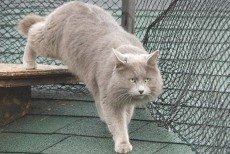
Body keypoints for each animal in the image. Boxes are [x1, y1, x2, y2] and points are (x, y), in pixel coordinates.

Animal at [17, 1, 162, 153]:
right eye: (132, 79)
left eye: (147, 79)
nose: (141, 90)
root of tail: (72, 3)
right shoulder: (110, 98)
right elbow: (118, 122)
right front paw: (122, 144)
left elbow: (124, 115)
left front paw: (113, 122)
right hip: (50, 42)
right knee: (33, 31)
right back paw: (29, 63)